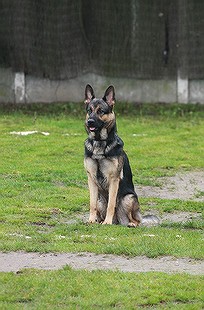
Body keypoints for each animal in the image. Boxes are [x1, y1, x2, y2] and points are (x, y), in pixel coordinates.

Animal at [83, 85, 142, 228]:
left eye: (101, 111)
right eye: (89, 110)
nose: (89, 122)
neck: (99, 142)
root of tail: (119, 221)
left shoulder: (114, 180)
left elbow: (111, 203)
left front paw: (107, 222)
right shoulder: (91, 179)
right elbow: (92, 204)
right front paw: (91, 220)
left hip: (128, 198)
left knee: (137, 219)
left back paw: (129, 223)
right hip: (100, 199)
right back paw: (99, 220)